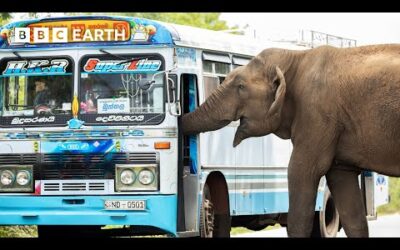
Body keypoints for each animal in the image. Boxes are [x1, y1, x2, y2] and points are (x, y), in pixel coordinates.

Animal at [182, 45, 400, 238]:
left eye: (240, 87)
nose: (177, 116)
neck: (295, 58)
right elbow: (343, 184)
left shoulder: (317, 115)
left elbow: (301, 171)